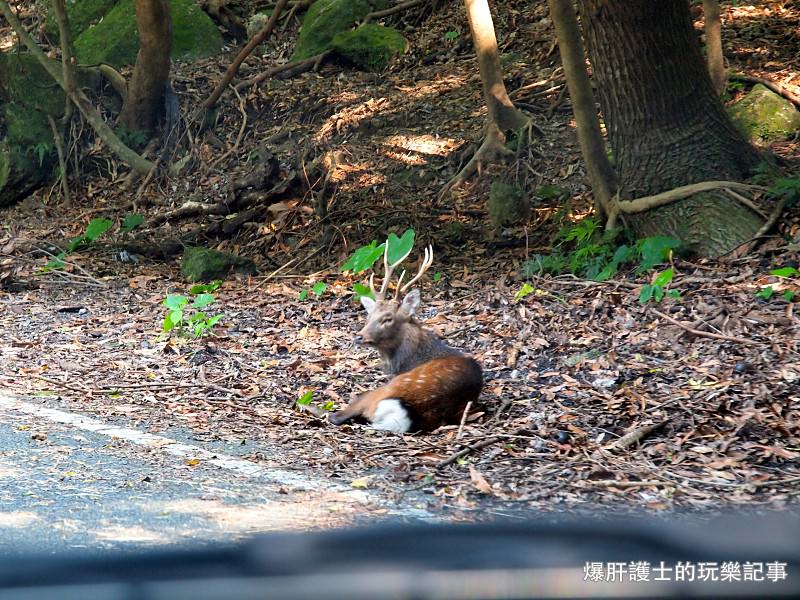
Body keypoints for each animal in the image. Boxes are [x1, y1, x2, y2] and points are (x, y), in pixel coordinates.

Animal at [330, 241, 484, 434]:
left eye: (388, 318)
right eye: (369, 315)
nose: (359, 337)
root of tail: (407, 411)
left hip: (380, 392)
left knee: (336, 416)